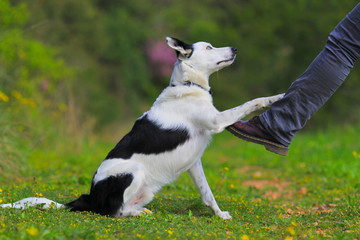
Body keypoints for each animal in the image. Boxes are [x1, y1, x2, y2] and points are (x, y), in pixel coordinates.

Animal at [1, 37, 282, 219]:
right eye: (209, 47)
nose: (235, 48)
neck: (189, 85)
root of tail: (89, 198)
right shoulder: (216, 121)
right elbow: (251, 102)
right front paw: (277, 97)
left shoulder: (194, 162)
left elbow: (207, 194)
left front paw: (220, 214)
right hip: (133, 171)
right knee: (113, 212)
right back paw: (135, 214)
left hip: (146, 190)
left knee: (123, 209)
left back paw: (141, 211)